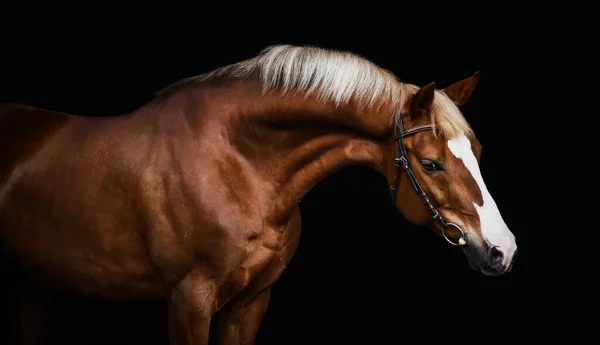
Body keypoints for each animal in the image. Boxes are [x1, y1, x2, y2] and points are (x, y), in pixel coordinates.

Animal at [0, 44, 516, 342]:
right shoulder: (189, 301)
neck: (238, 164)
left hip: (33, 284)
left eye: (477, 152)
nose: (502, 250)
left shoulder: (250, 304)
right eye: (431, 164)